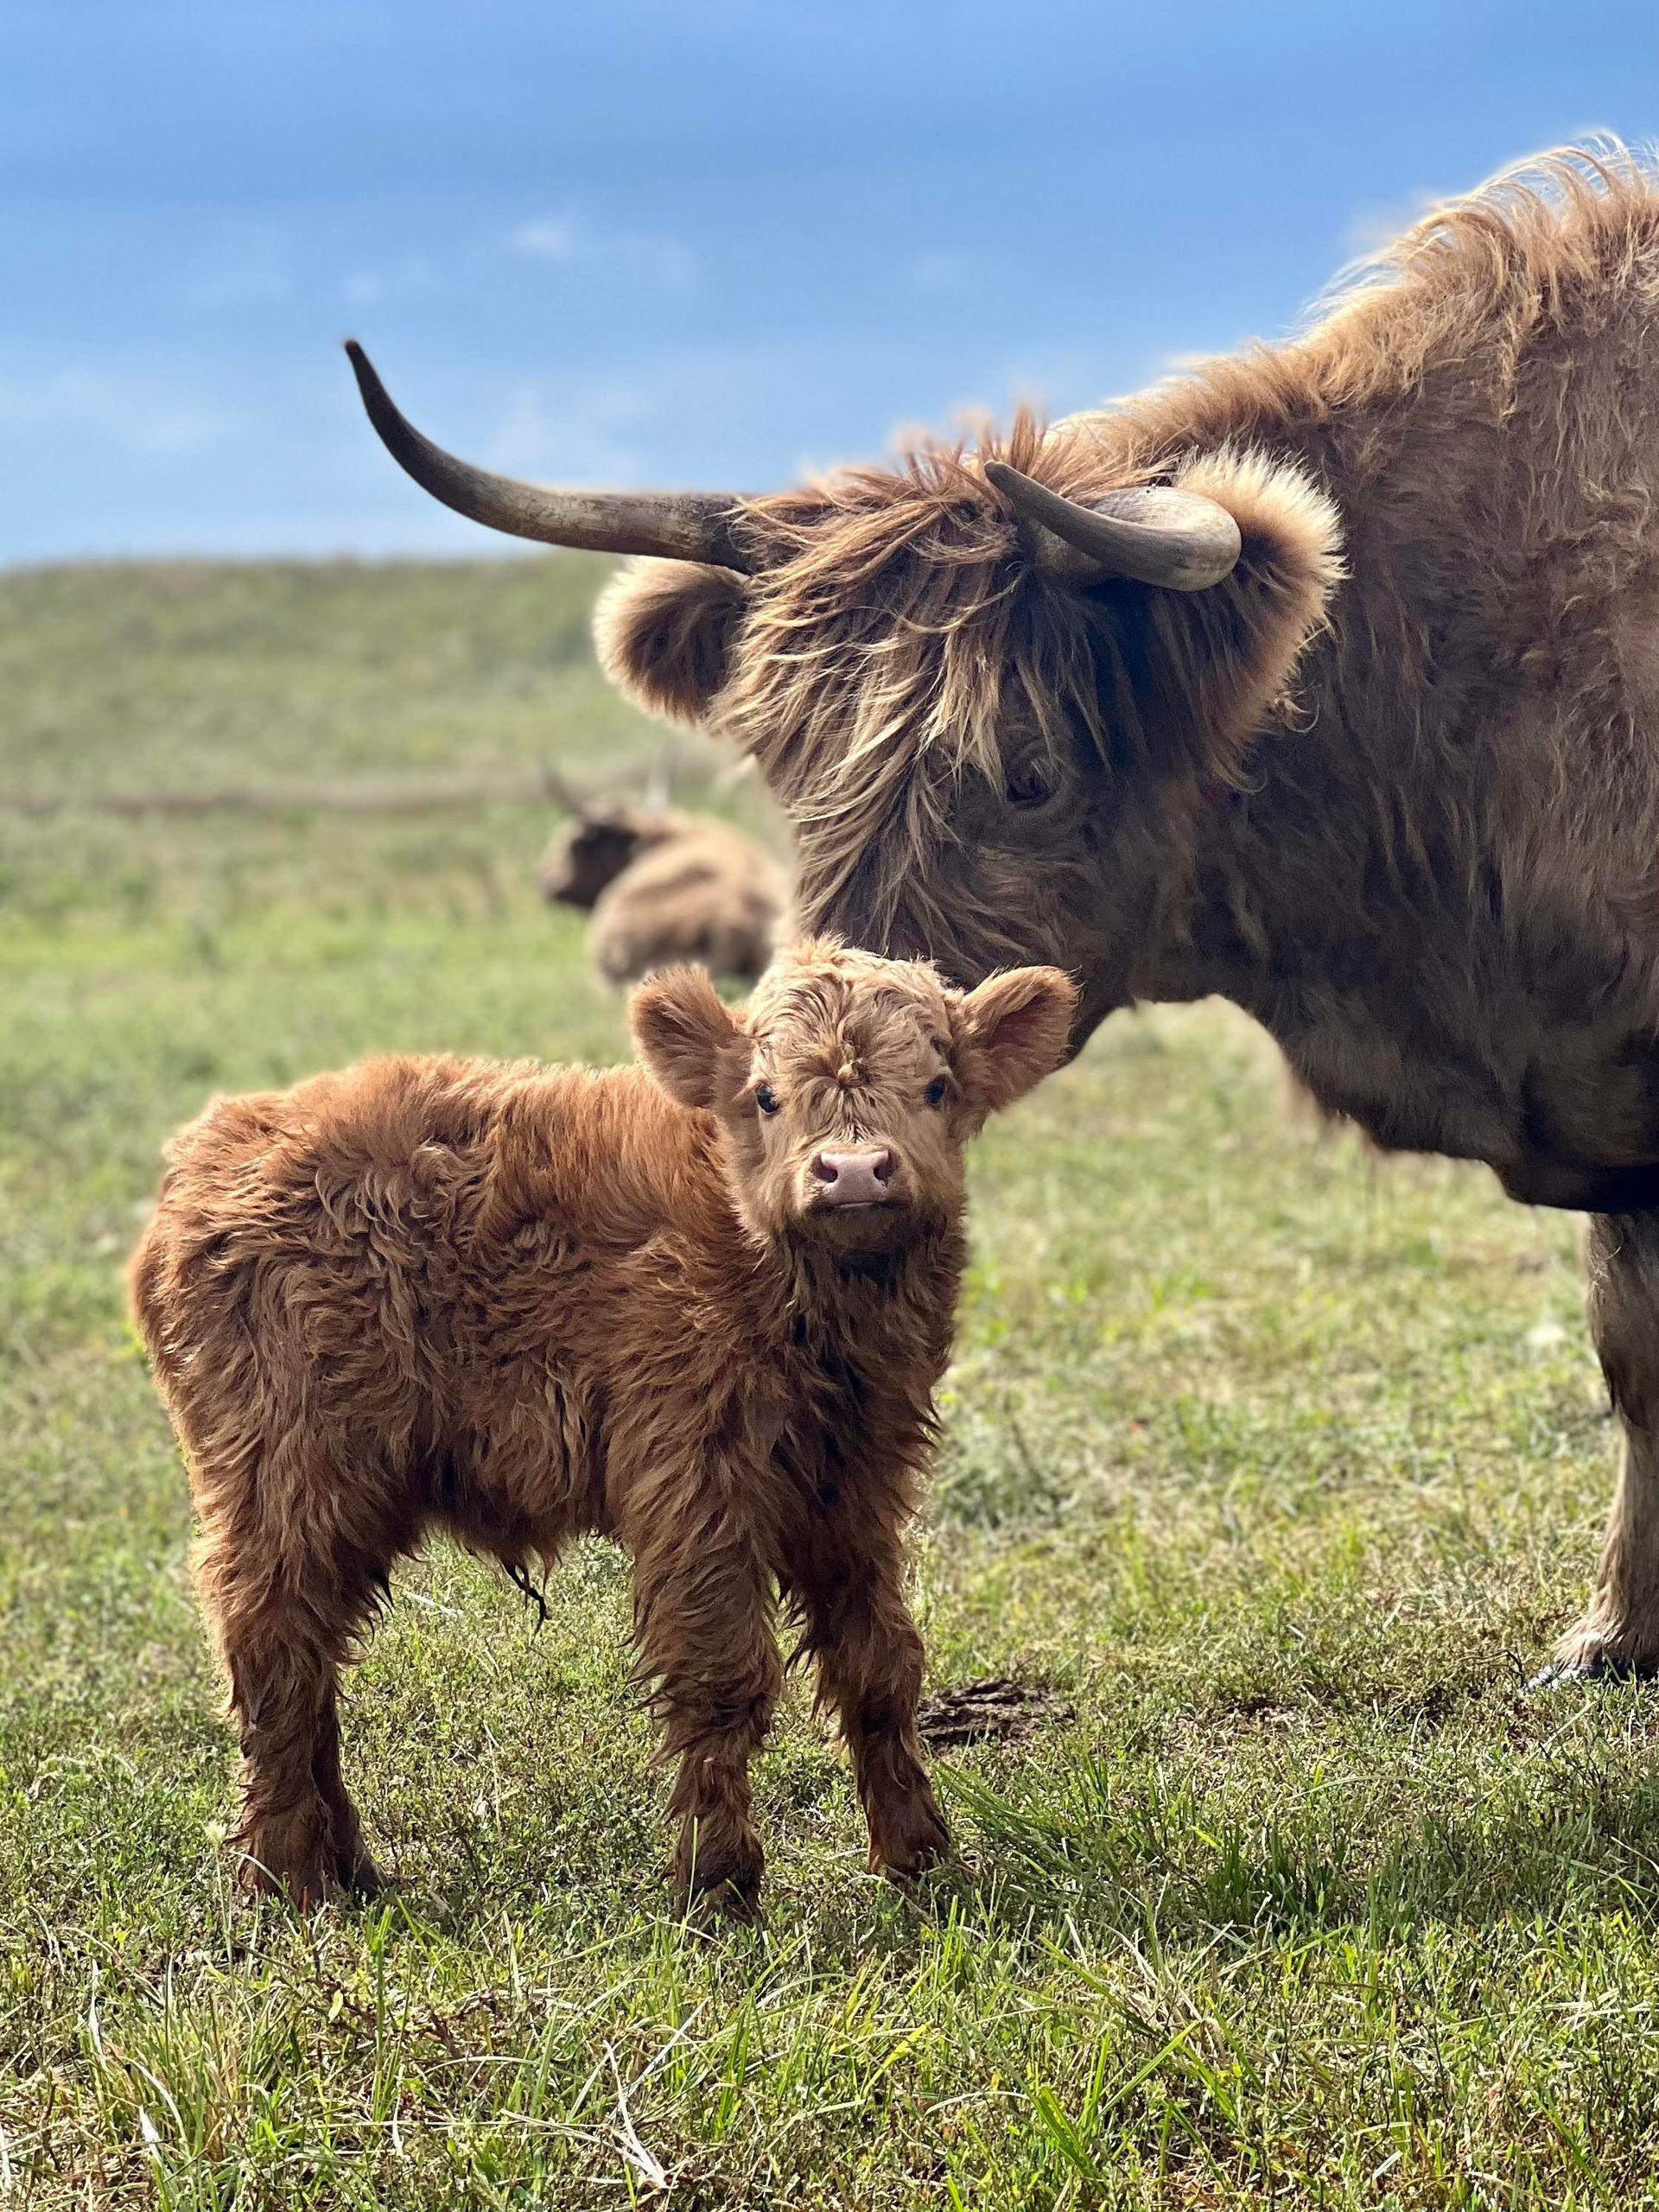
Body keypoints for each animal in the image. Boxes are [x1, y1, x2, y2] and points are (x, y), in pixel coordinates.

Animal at [130, 940, 1076, 1911]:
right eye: (765, 1095)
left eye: (935, 1085)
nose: (852, 1171)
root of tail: (221, 1143)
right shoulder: (694, 1482)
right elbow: (720, 1678)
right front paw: (717, 1883)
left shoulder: (855, 1487)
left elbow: (880, 1666)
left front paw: (922, 1857)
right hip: (289, 1474)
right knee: (273, 1644)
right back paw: (282, 1877)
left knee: (309, 1656)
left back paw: (348, 1868)